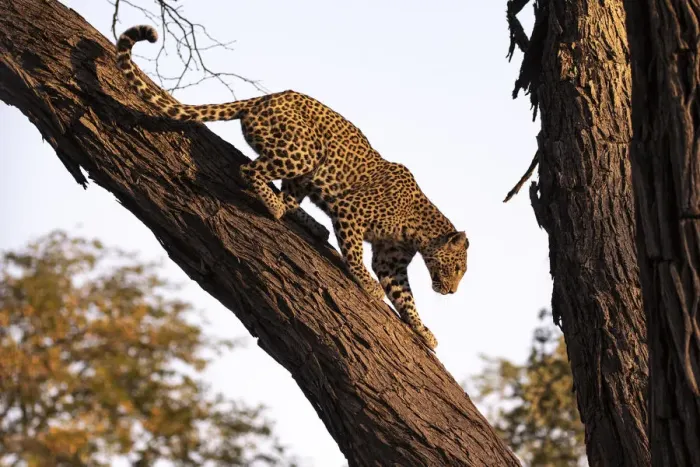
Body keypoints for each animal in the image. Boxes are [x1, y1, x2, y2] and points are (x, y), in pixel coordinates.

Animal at [116, 25, 469, 349]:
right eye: (457, 268)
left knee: (289, 196)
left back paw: (310, 222)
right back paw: (275, 207)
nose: (451, 291)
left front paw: (422, 330)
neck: (418, 231)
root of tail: (265, 97)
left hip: (305, 169)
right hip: (304, 151)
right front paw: (368, 285)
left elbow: (406, 298)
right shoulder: (351, 212)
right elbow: (356, 255)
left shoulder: (390, 261)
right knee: (251, 170)